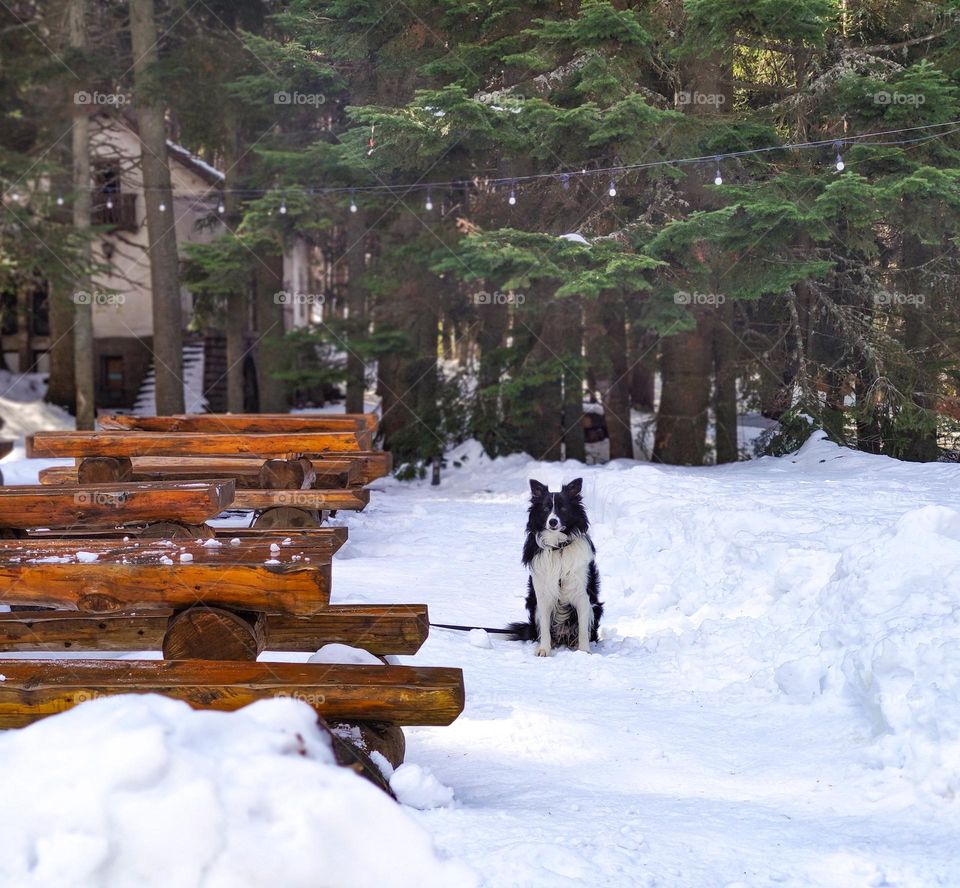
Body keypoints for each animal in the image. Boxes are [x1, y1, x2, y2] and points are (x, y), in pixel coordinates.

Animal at [510, 476, 600, 656]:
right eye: (545, 508)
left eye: (563, 508)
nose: (552, 521)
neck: (558, 547)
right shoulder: (542, 594)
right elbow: (545, 627)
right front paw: (544, 650)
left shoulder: (582, 593)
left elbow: (583, 629)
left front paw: (584, 652)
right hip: (532, 604)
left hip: (597, 607)